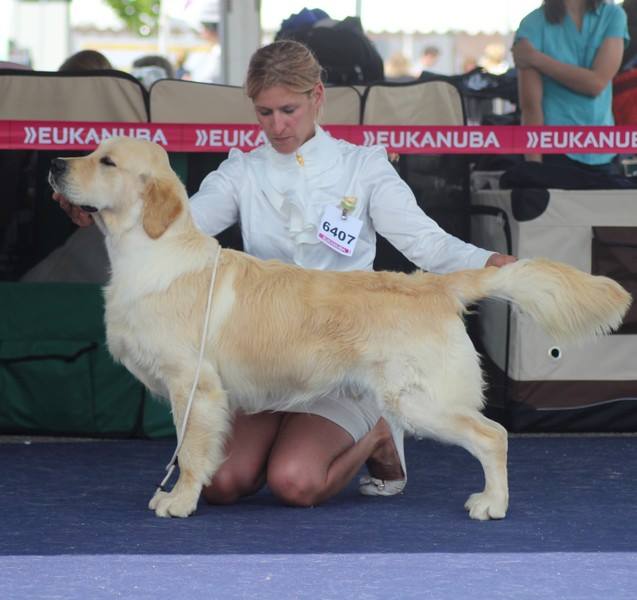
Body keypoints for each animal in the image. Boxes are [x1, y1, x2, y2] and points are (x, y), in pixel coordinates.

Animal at [49, 138, 632, 516]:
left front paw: (179, 500)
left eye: (106, 160)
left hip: (422, 399)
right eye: (90, 149)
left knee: (494, 435)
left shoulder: (194, 384)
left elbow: (190, 450)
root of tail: (436, 287)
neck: (150, 250)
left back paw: (492, 503)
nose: (55, 164)